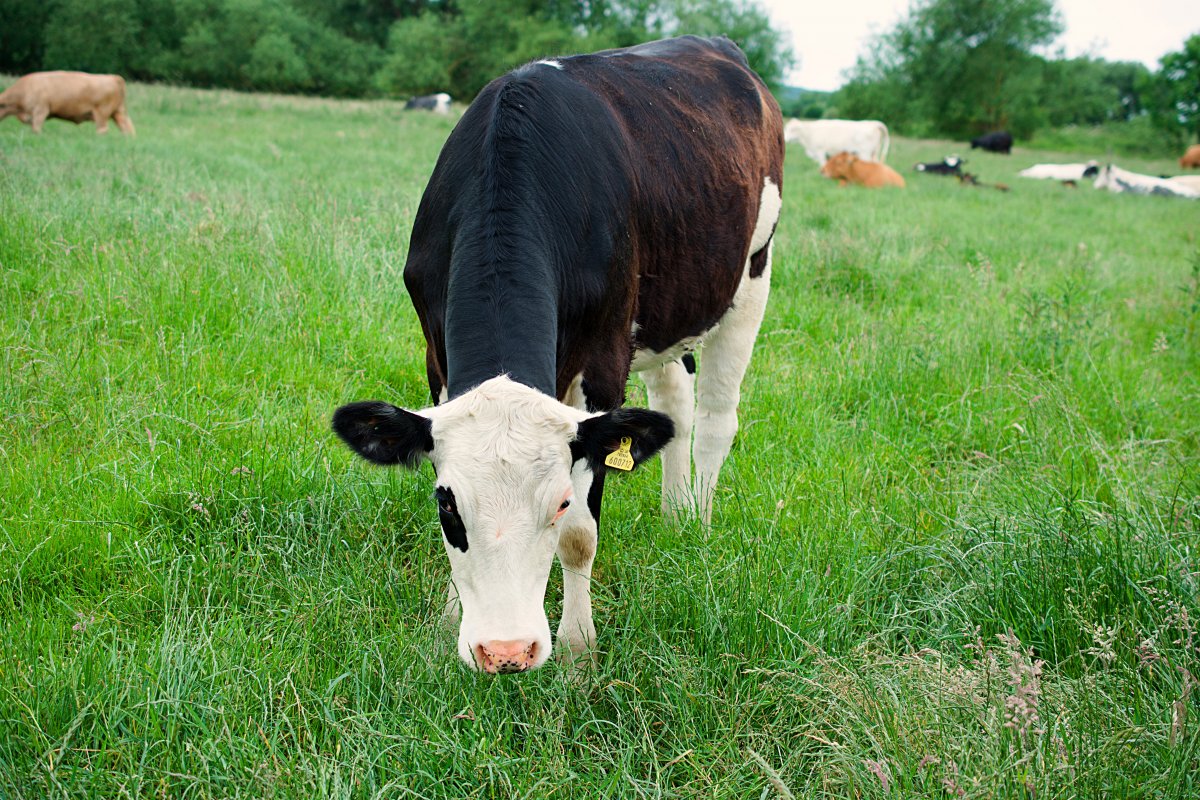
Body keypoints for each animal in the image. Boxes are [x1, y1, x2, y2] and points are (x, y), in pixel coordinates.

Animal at [0, 72, 136, 136]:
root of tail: (113, 77)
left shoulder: (40, 110)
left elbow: (36, 128)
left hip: (101, 112)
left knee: (102, 130)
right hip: (118, 112)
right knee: (127, 128)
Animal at [328, 38, 782, 676]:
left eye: (561, 501)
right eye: (446, 505)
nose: (505, 652)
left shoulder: (604, 365)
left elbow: (581, 537)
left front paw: (577, 649)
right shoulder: (435, 356)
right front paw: (449, 625)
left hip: (751, 277)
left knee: (718, 418)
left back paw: (700, 523)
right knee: (674, 404)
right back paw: (675, 516)